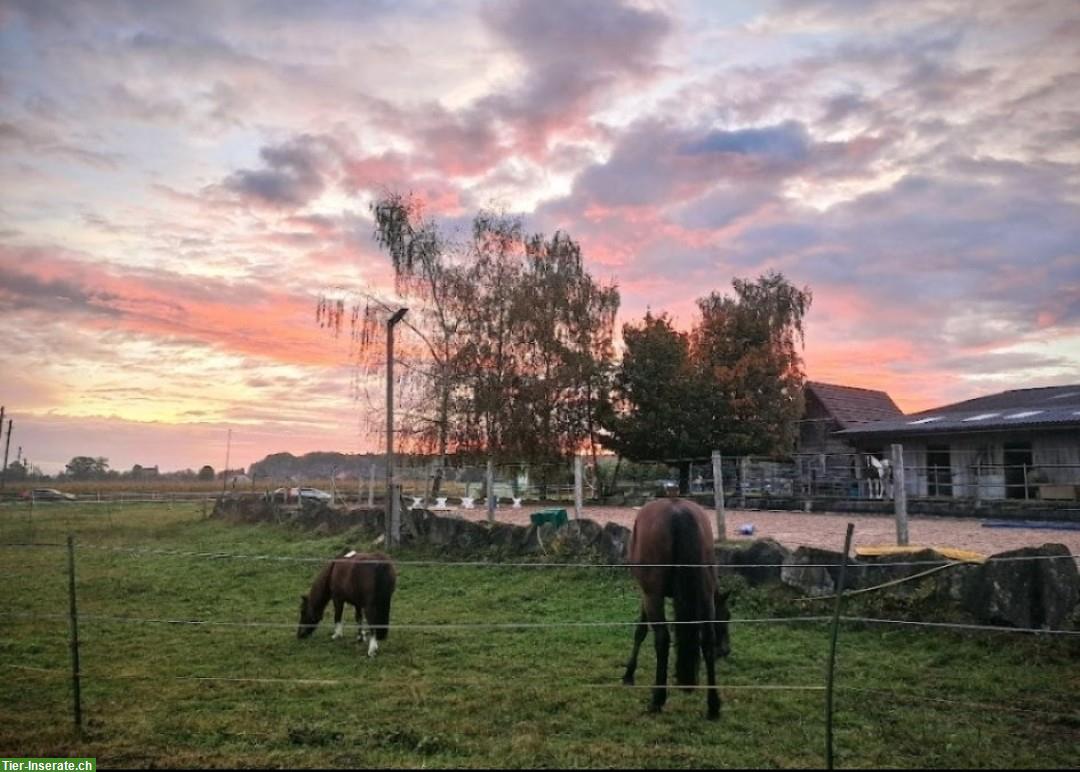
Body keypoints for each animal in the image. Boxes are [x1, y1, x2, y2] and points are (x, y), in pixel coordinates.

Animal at [622, 498, 730, 721]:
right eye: (727, 617)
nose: (726, 651)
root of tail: (678, 511)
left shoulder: (647, 594)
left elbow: (640, 631)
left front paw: (629, 674)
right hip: (705, 593)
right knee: (707, 640)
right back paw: (713, 705)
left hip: (653, 595)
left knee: (662, 639)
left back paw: (657, 699)